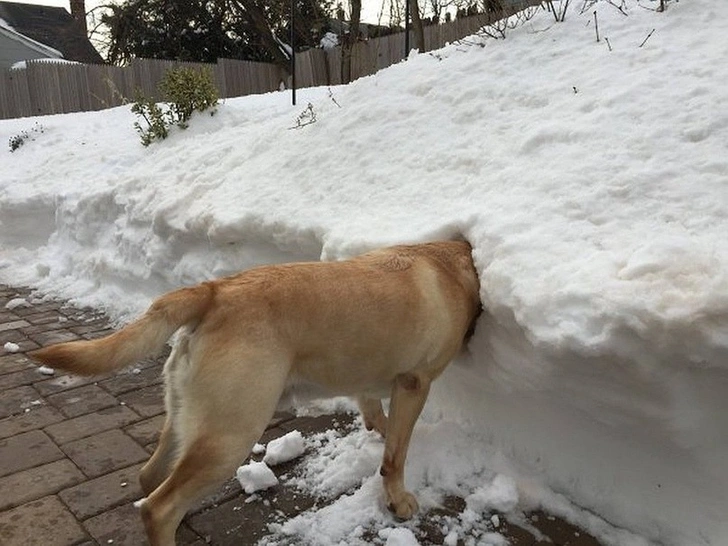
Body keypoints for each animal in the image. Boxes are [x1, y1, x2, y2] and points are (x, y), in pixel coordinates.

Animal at [29, 242, 484, 544]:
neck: (453, 262)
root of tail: (214, 291)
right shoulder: (414, 383)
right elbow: (396, 455)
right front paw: (397, 499)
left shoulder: (371, 383)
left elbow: (376, 416)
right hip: (231, 434)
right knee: (158, 508)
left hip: (187, 418)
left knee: (150, 479)